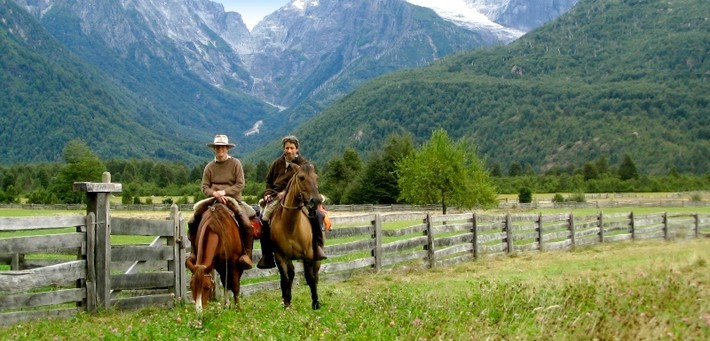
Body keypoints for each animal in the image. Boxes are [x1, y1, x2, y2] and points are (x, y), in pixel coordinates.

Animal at [270, 163, 326, 310]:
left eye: (316, 177)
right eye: (301, 177)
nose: (316, 200)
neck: (290, 226)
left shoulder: (307, 255)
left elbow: (310, 278)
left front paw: (315, 303)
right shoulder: (281, 255)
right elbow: (285, 278)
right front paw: (287, 303)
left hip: (316, 258)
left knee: (315, 276)